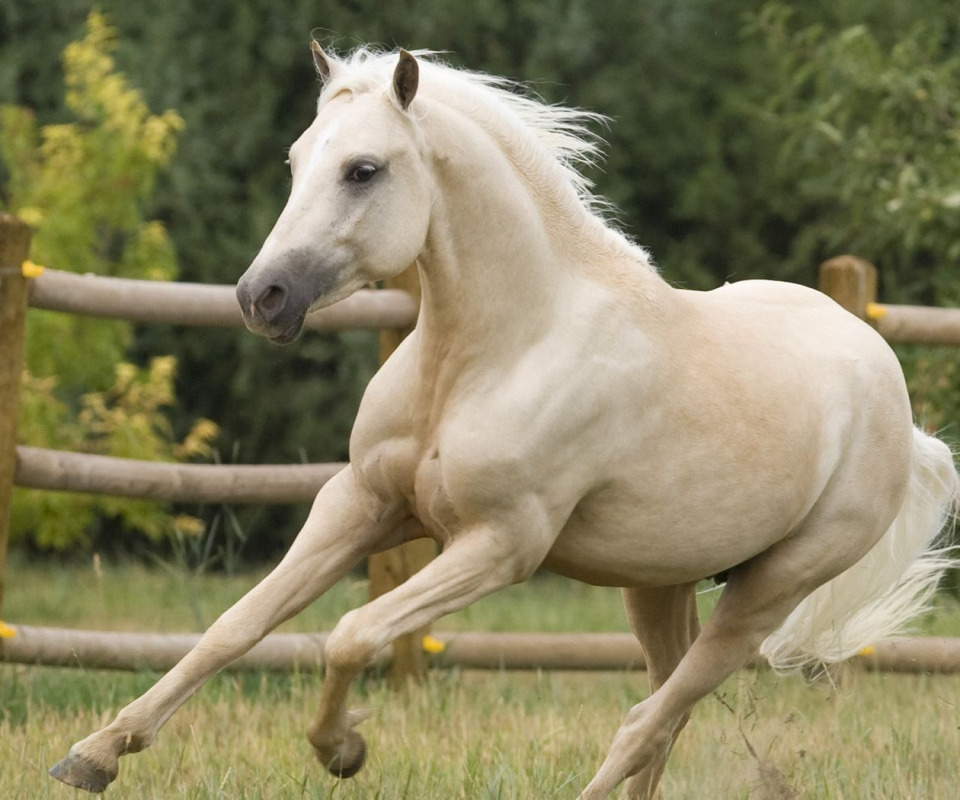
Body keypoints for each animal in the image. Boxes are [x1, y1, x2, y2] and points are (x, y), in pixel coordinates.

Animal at [52, 45, 960, 800]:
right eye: (297, 161)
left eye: (363, 170)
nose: (262, 297)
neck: (490, 355)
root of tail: (898, 406)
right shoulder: (360, 505)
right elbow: (233, 627)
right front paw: (94, 755)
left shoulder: (499, 545)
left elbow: (350, 633)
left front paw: (342, 750)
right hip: (657, 581)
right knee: (666, 713)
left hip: (771, 591)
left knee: (648, 719)